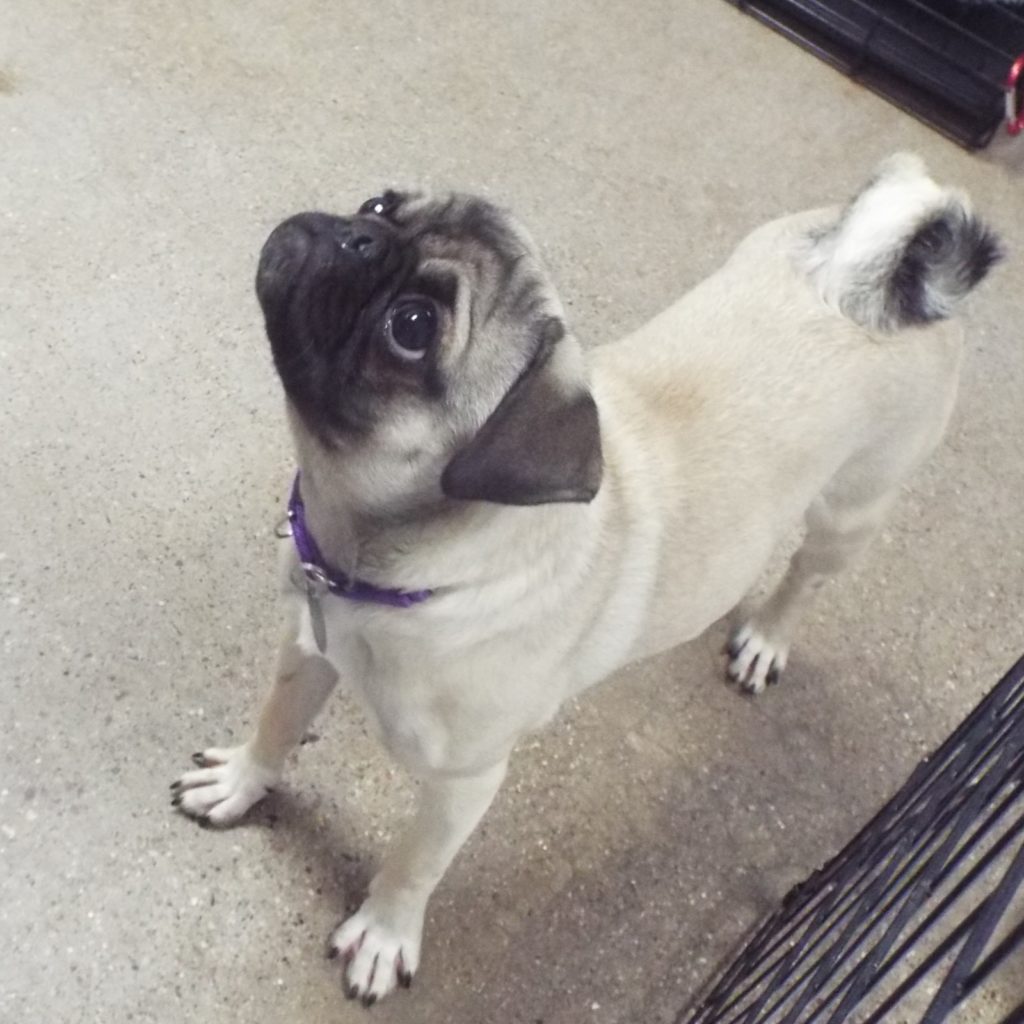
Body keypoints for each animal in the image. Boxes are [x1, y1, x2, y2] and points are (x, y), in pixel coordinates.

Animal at [172, 154, 1000, 1005]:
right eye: (377, 205)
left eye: (413, 327)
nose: (354, 235)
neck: (381, 562)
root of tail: (876, 286)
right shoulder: (308, 649)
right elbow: (275, 726)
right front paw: (244, 783)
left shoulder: (463, 782)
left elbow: (414, 863)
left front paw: (385, 931)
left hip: (851, 514)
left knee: (804, 577)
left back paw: (767, 636)